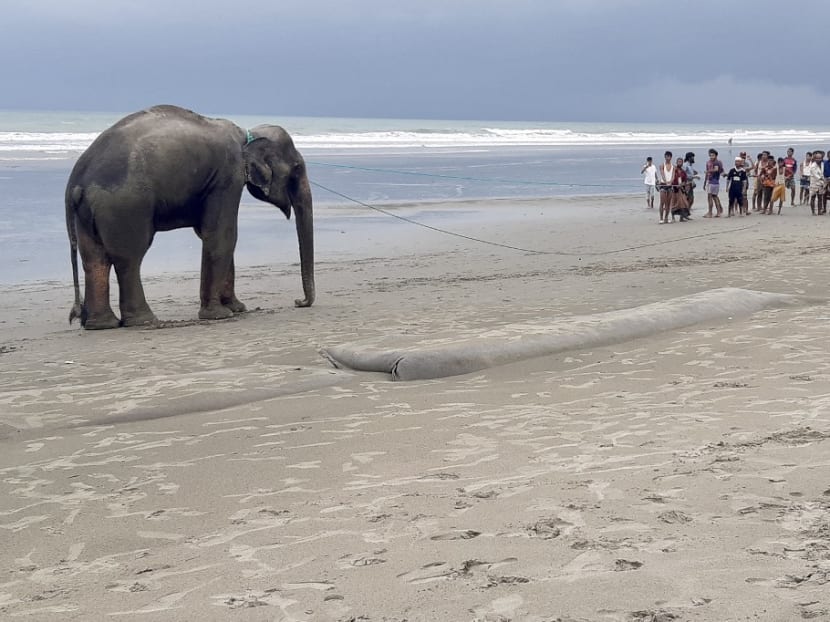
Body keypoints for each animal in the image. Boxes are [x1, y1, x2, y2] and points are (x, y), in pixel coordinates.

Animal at [65, 104, 314, 329]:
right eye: (296, 169)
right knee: (129, 258)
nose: (298, 301)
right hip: (125, 207)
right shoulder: (227, 176)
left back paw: (101, 324)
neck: (246, 134)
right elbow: (222, 234)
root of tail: (76, 180)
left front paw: (237, 308)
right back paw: (144, 321)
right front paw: (220, 315)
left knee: (94, 259)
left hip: (88, 214)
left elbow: (211, 234)